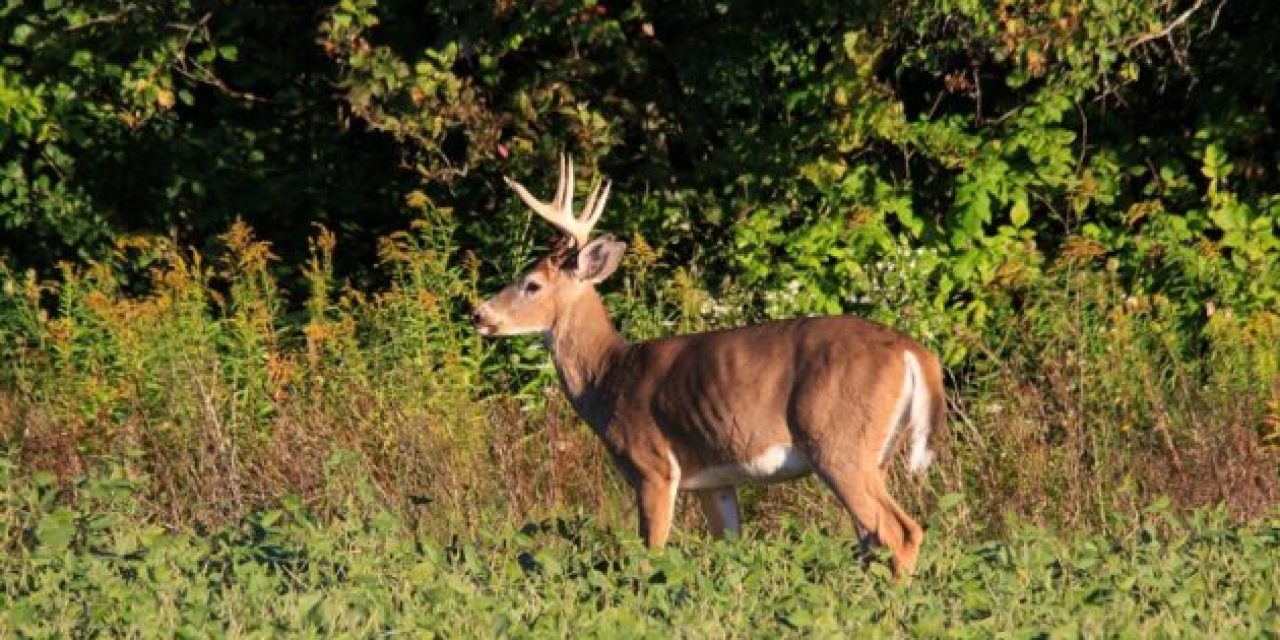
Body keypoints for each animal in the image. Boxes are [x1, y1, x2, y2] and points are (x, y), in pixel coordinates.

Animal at [476, 156, 947, 581]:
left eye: (532, 284)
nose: (479, 314)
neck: (608, 376)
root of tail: (915, 353)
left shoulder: (653, 467)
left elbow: (650, 555)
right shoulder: (713, 481)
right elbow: (730, 548)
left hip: (837, 441)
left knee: (899, 531)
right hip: (875, 452)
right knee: (871, 537)